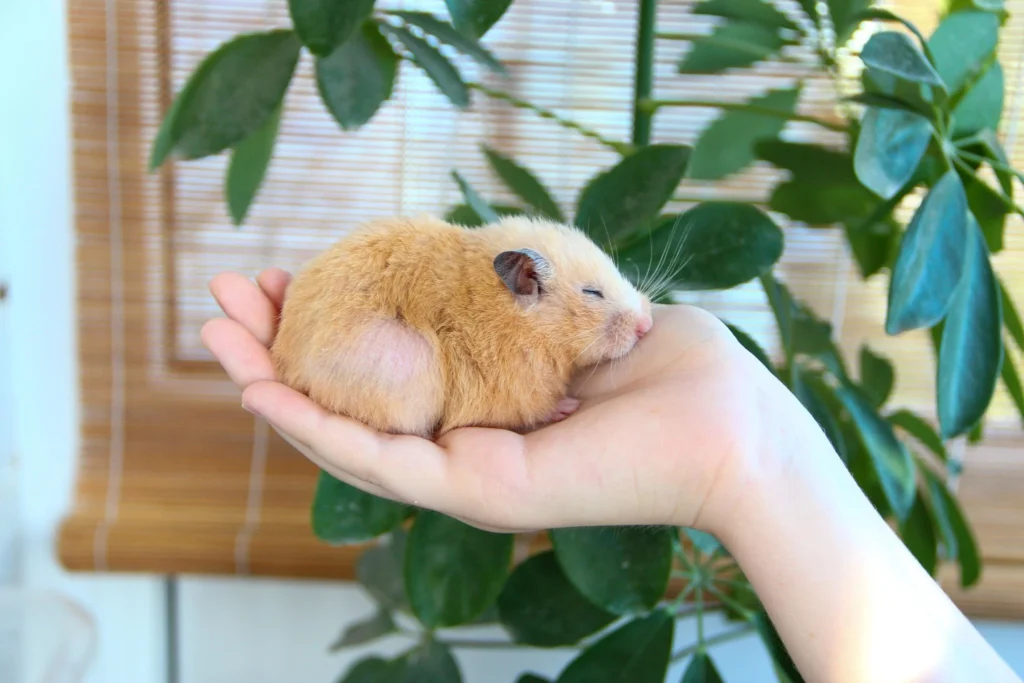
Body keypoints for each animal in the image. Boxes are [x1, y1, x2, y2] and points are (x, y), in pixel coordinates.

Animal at [271, 214, 653, 438]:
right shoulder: (515, 390)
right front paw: (567, 406)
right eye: (592, 292)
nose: (647, 324)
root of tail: (284, 361)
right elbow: (536, 407)